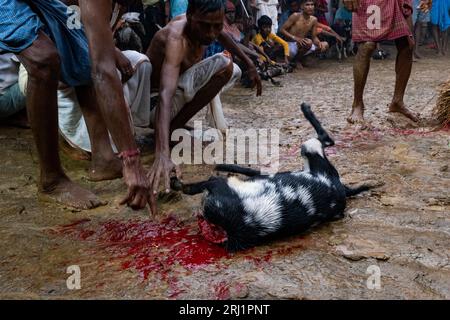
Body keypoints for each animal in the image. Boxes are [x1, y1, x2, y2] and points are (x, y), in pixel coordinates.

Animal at [171, 104, 370, 251]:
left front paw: (177, 183)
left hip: (309, 148)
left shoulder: (218, 186)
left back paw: (305, 108)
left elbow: (192, 187)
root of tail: (342, 188)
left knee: (326, 138)